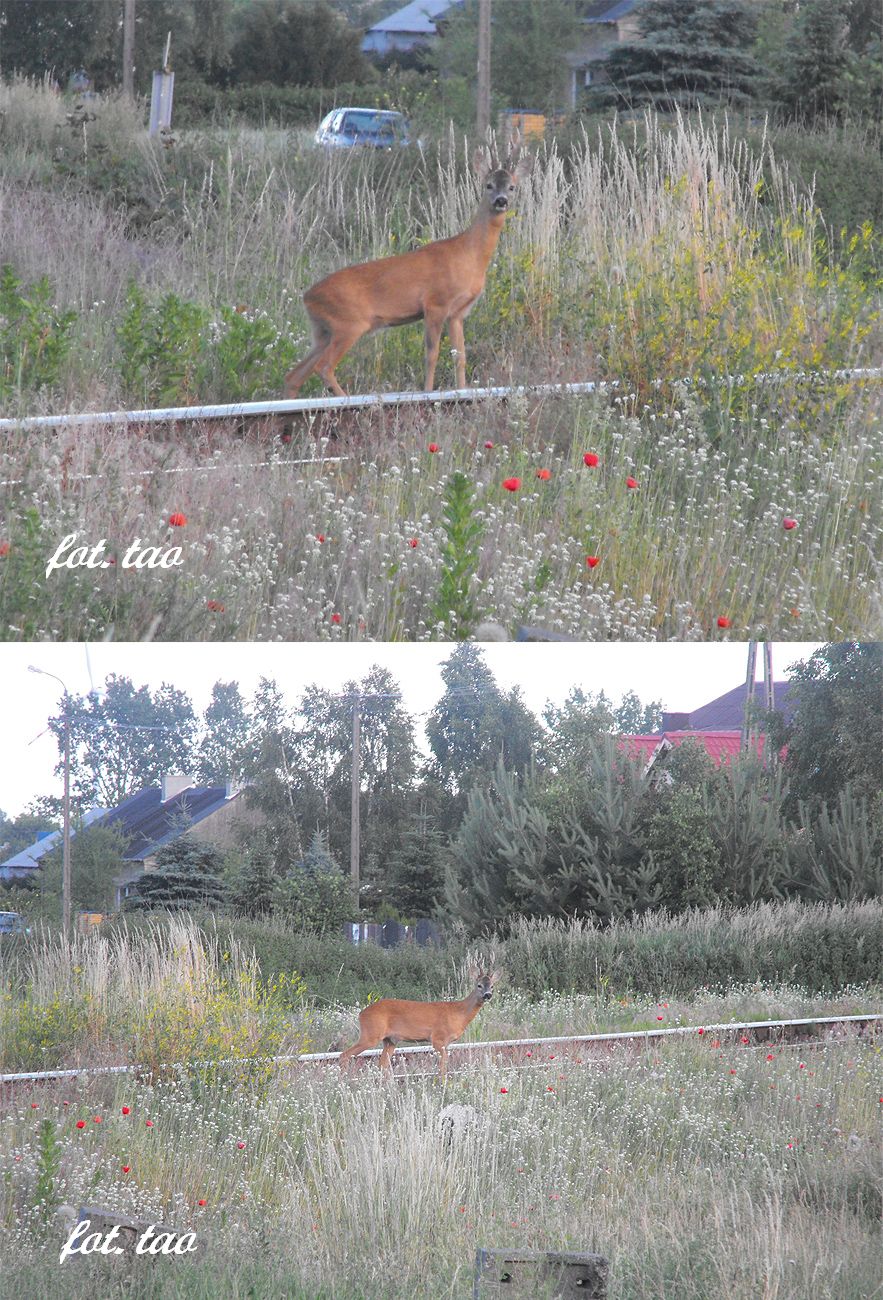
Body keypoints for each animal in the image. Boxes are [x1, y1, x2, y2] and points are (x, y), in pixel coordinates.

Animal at [284, 138, 533, 395]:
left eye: (512, 187)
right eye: (488, 185)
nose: (501, 201)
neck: (469, 255)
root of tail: (307, 297)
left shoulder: (457, 313)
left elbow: (460, 356)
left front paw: (461, 390)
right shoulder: (435, 303)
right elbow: (432, 354)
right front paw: (428, 392)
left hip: (322, 331)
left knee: (294, 375)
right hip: (349, 323)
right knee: (323, 367)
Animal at [340, 967, 504, 1076]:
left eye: (492, 986)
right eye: (479, 985)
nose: (488, 995)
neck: (459, 1013)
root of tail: (361, 1014)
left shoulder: (446, 1042)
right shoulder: (438, 1038)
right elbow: (442, 1068)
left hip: (390, 1040)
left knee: (382, 1064)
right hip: (370, 1034)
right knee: (344, 1055)